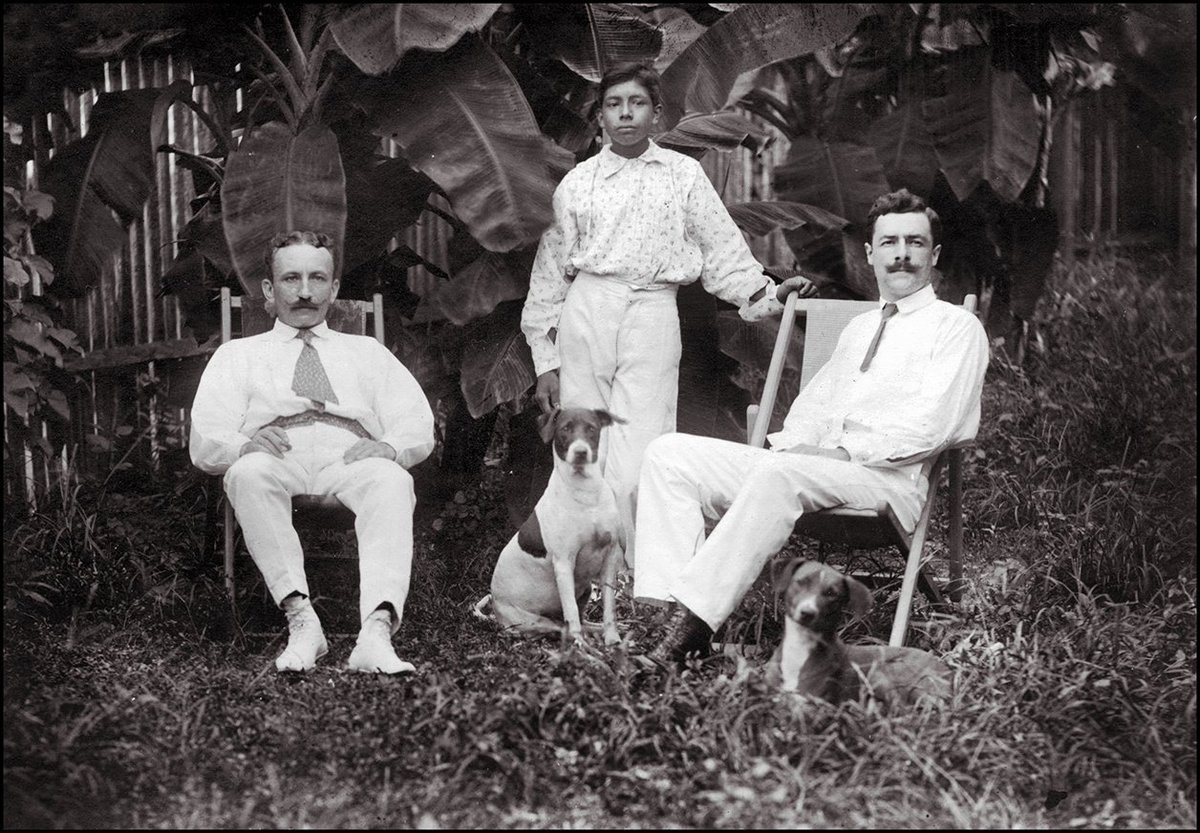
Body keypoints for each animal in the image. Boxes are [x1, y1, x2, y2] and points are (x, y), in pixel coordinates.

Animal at [473, 406, 626, 646]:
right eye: (565, 429)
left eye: (591, 428)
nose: (580, 452)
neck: (586, 494)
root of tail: (496, 614)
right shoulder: (564, 564)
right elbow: (571, 613)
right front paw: (579, 647)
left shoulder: (610, 556)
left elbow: (609, 607)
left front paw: (613, 639)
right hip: (533, 621)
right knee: (563, 625)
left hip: (586, 589)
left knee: (580, 620)